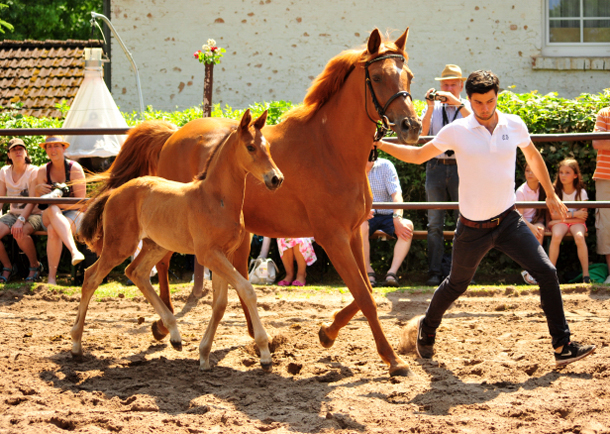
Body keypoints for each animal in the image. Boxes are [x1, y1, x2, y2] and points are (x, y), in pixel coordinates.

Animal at [72, 110, 282, 372]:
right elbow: (247, 290)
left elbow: (220, 304)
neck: (216, 199)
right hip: (119, 246)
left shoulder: (223, 254)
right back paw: (76, 345)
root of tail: (115, 193)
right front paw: (264, 353)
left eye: (268, 147)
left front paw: (204, 355)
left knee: (136, 272)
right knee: (91, 277)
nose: (276, 179)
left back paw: (174, 334)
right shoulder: (208, 255)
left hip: (155, 245)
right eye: (251, 147)